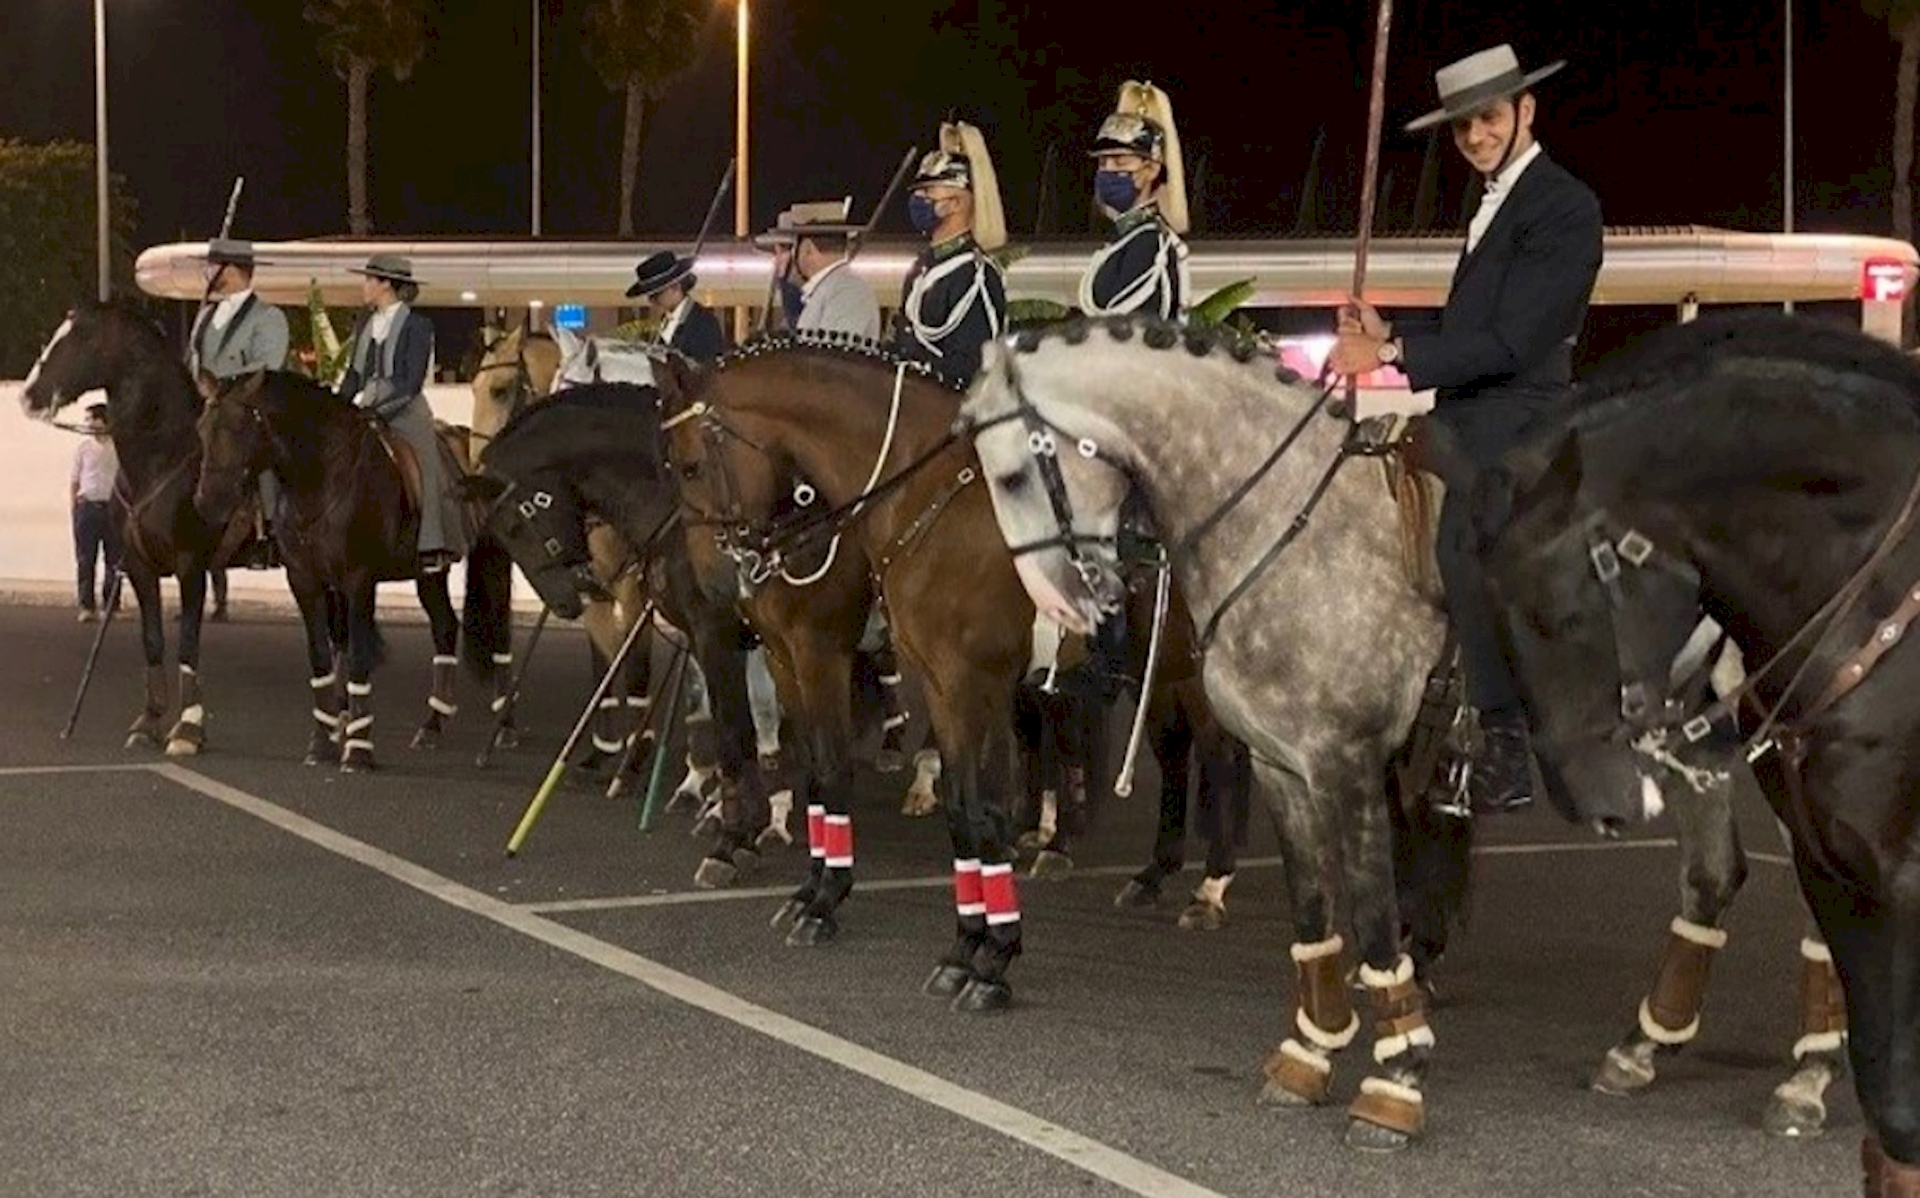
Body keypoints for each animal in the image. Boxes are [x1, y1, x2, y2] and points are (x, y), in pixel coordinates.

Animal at [22, 303, 243, 752]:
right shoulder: (139, 567)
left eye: (79, 340)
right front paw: (149, 720)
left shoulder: (192, 566)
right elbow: (153, 640)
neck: (163, 457)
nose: (28, 396)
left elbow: (188, 643)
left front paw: (189, 728)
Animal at [191, 370, 514, 771]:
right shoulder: (306, 581)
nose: (207, 502)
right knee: (444, 627)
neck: (321, 477)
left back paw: (505, 728)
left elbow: (358, 652)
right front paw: (323, 739)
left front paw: (358, 747)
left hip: (495, 565)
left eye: (239, 427)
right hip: (429, 574)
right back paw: (432, 726)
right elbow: (322, 655)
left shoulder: (358, 581)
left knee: (500, 634)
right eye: (202, 427)